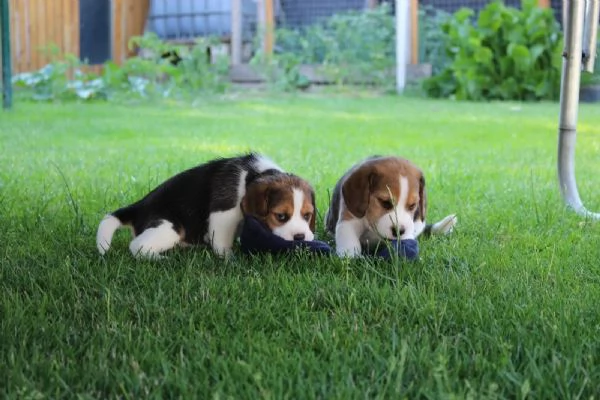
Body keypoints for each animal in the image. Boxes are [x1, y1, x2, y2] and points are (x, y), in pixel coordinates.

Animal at [96, 153, 316, 260]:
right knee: (137, 246)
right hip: (169, 227)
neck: (252, 175)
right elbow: (221, 241)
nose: (300, 237)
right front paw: (228, 257)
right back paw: (159, 259)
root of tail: (138, 206)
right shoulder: (223, 214)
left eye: (307, 216)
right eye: (281, 216)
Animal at [326, 155, 458, 258]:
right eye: (385, 202)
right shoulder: (348, 219)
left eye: (412, 206)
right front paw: (350, 257)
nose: (399, 231)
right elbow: (349, 239)